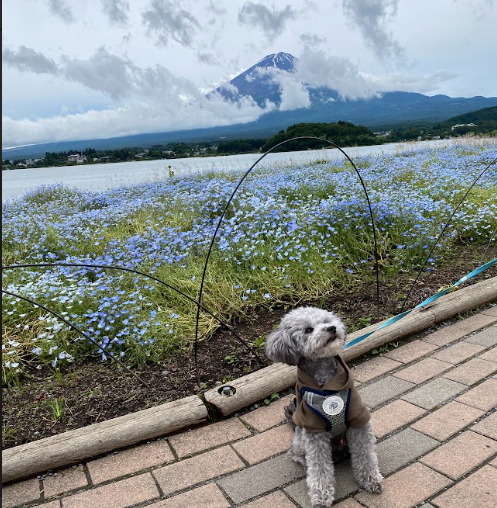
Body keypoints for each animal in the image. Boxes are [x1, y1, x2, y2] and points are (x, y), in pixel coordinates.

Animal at [266, 306, 382, 508]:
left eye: (327, 321)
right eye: (308, 330)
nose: (332, 328)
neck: (327, 384)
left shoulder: (358, 420)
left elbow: (365, 454)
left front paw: (371, 479)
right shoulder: (314, 432)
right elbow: (319, 469)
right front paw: (321, 497)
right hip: (300, 440)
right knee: (298, 455)